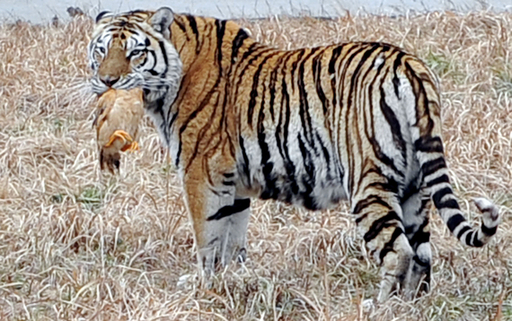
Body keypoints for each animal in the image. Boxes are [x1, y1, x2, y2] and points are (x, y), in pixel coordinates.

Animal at [88, 6, 500, 300]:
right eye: (102, 49)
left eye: (135, 53)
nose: (108, 81)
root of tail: (409, 65)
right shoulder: (233, 183)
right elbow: (232, 240)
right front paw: (231, 282)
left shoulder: (200, 174)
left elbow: (208, 238)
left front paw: (203, 286)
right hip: (414, 186)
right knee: (423, 255)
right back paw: (410, 305)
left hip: (368, 182)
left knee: (399, 252)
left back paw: (378, 306)